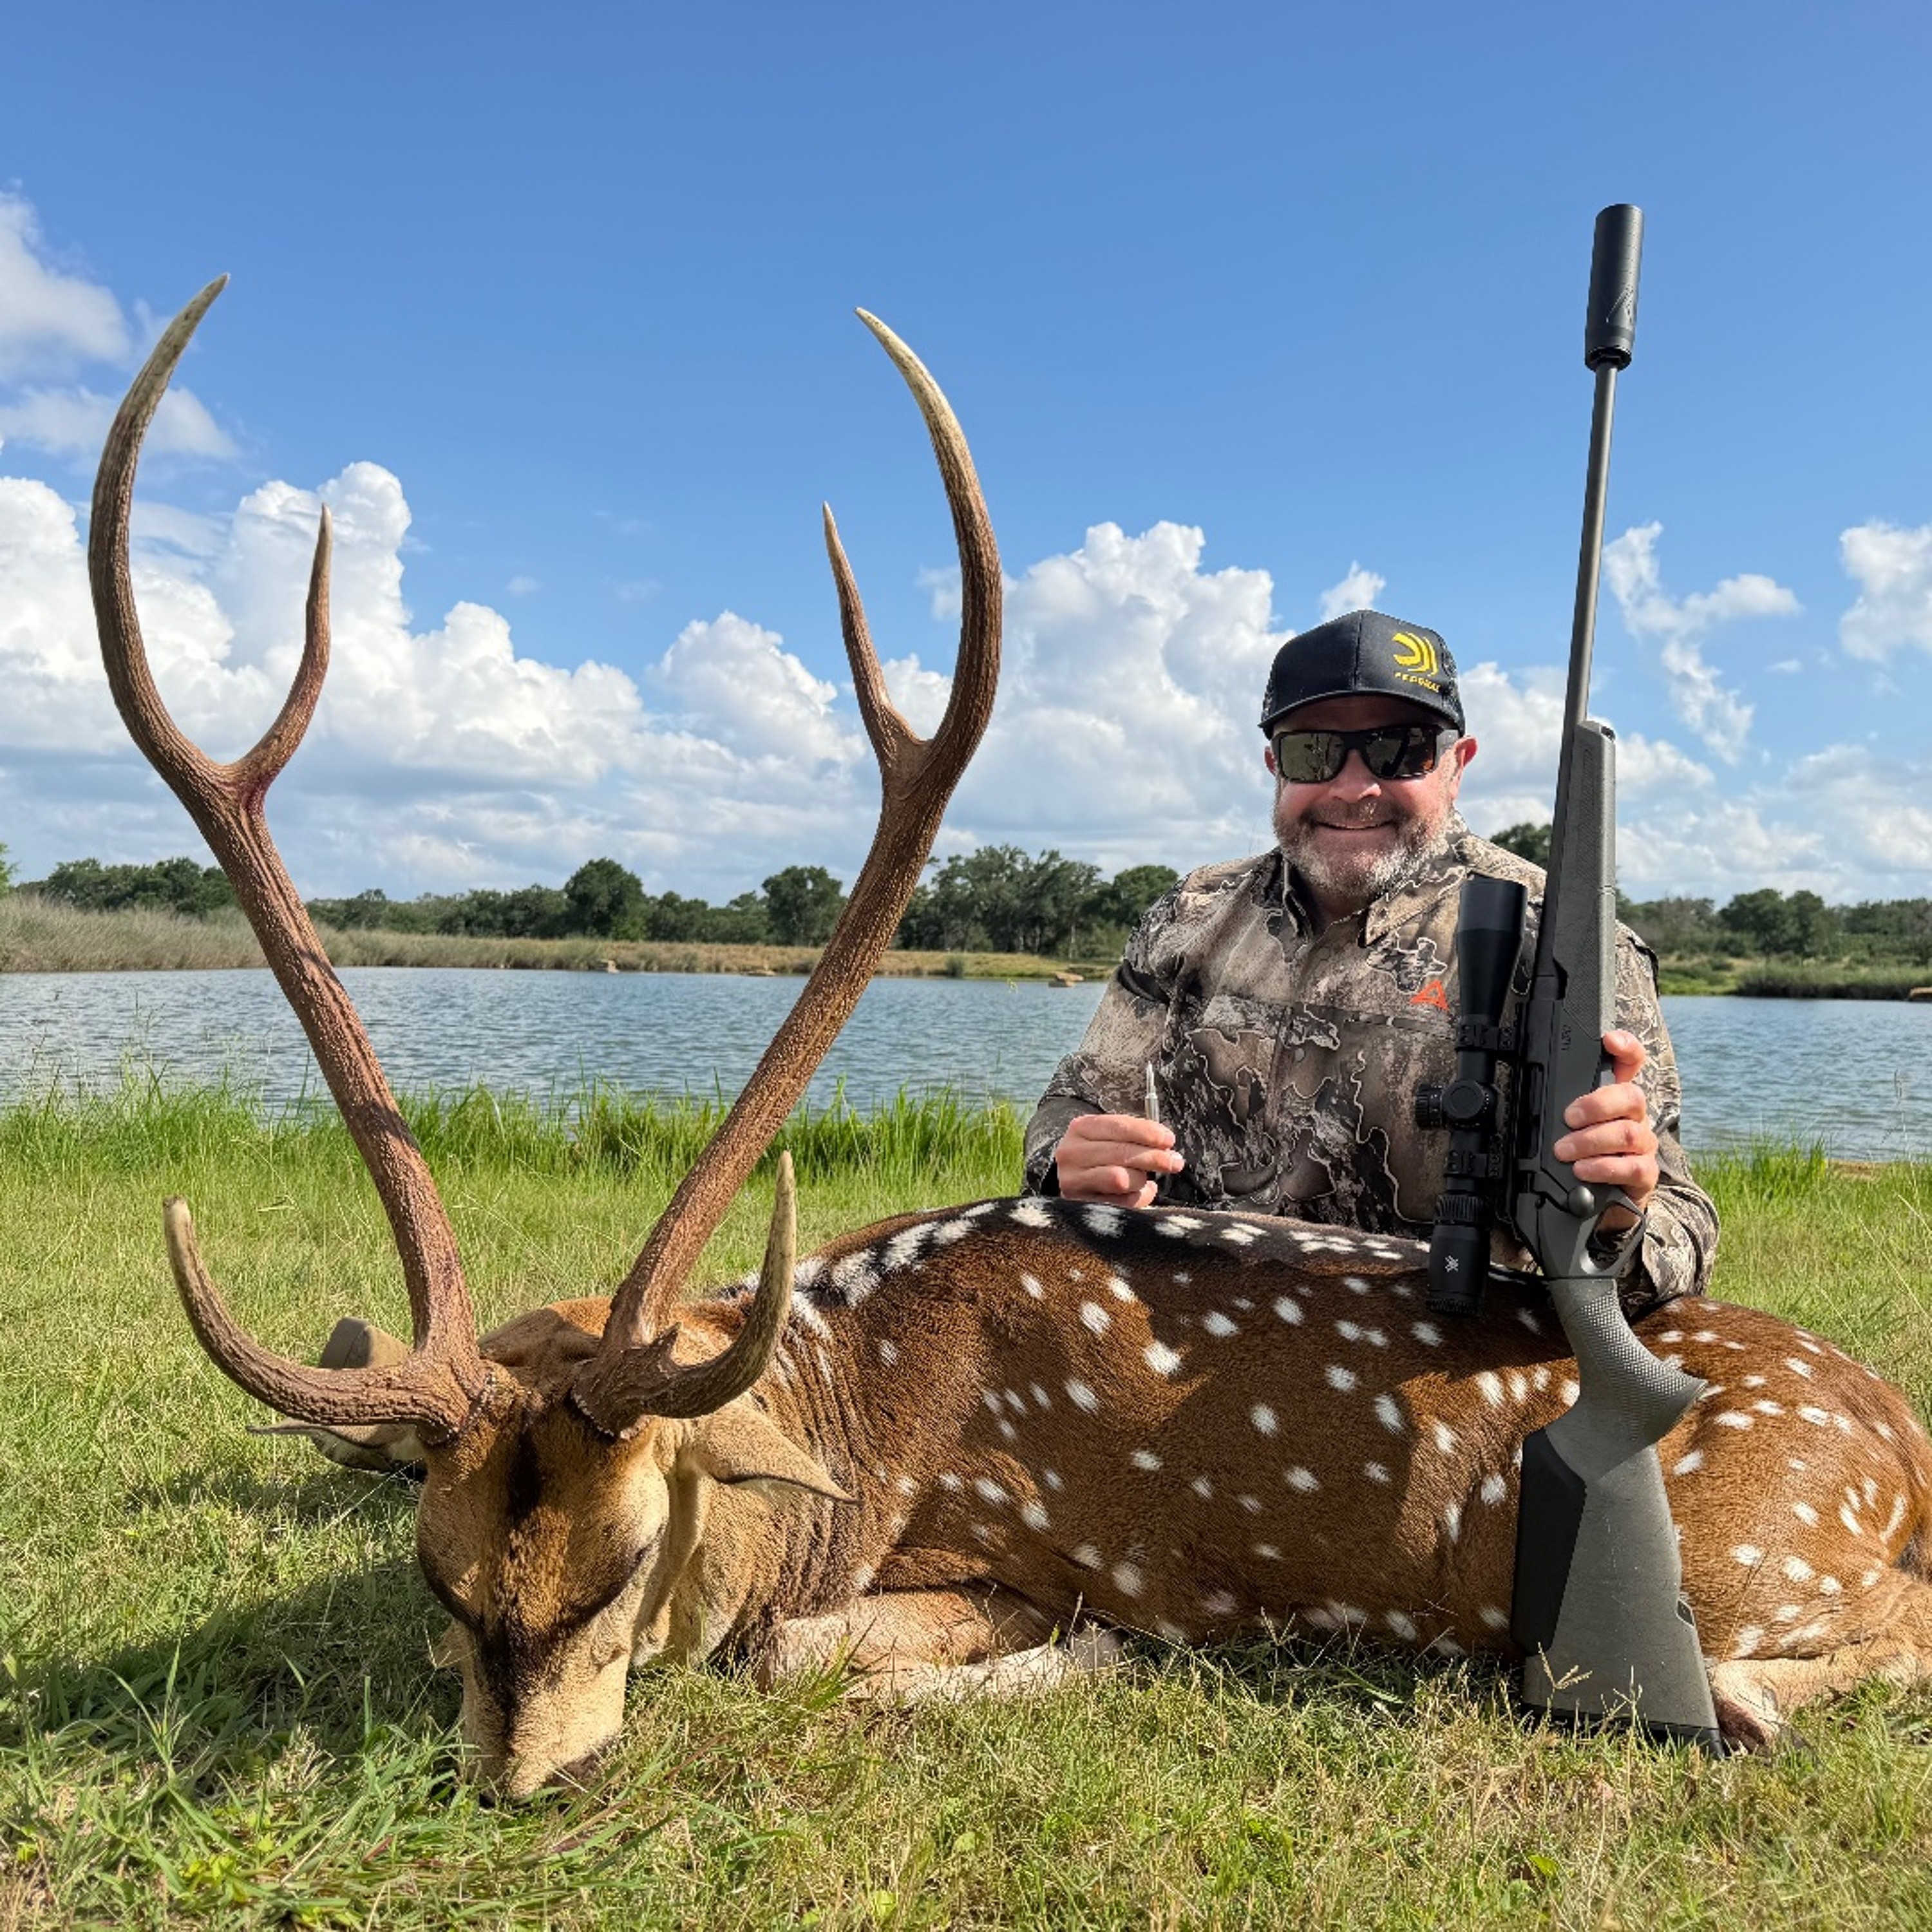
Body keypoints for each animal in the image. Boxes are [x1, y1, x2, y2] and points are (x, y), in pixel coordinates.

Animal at [92, 284, 1932, 1803]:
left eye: (620, 1564)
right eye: (440, 1570)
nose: (521, 1780)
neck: (847, 1428)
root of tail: (1905, 1447)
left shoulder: (1005, 1559)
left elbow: (803, 1659)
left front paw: (1080, 1656)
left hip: (1762, 1543)